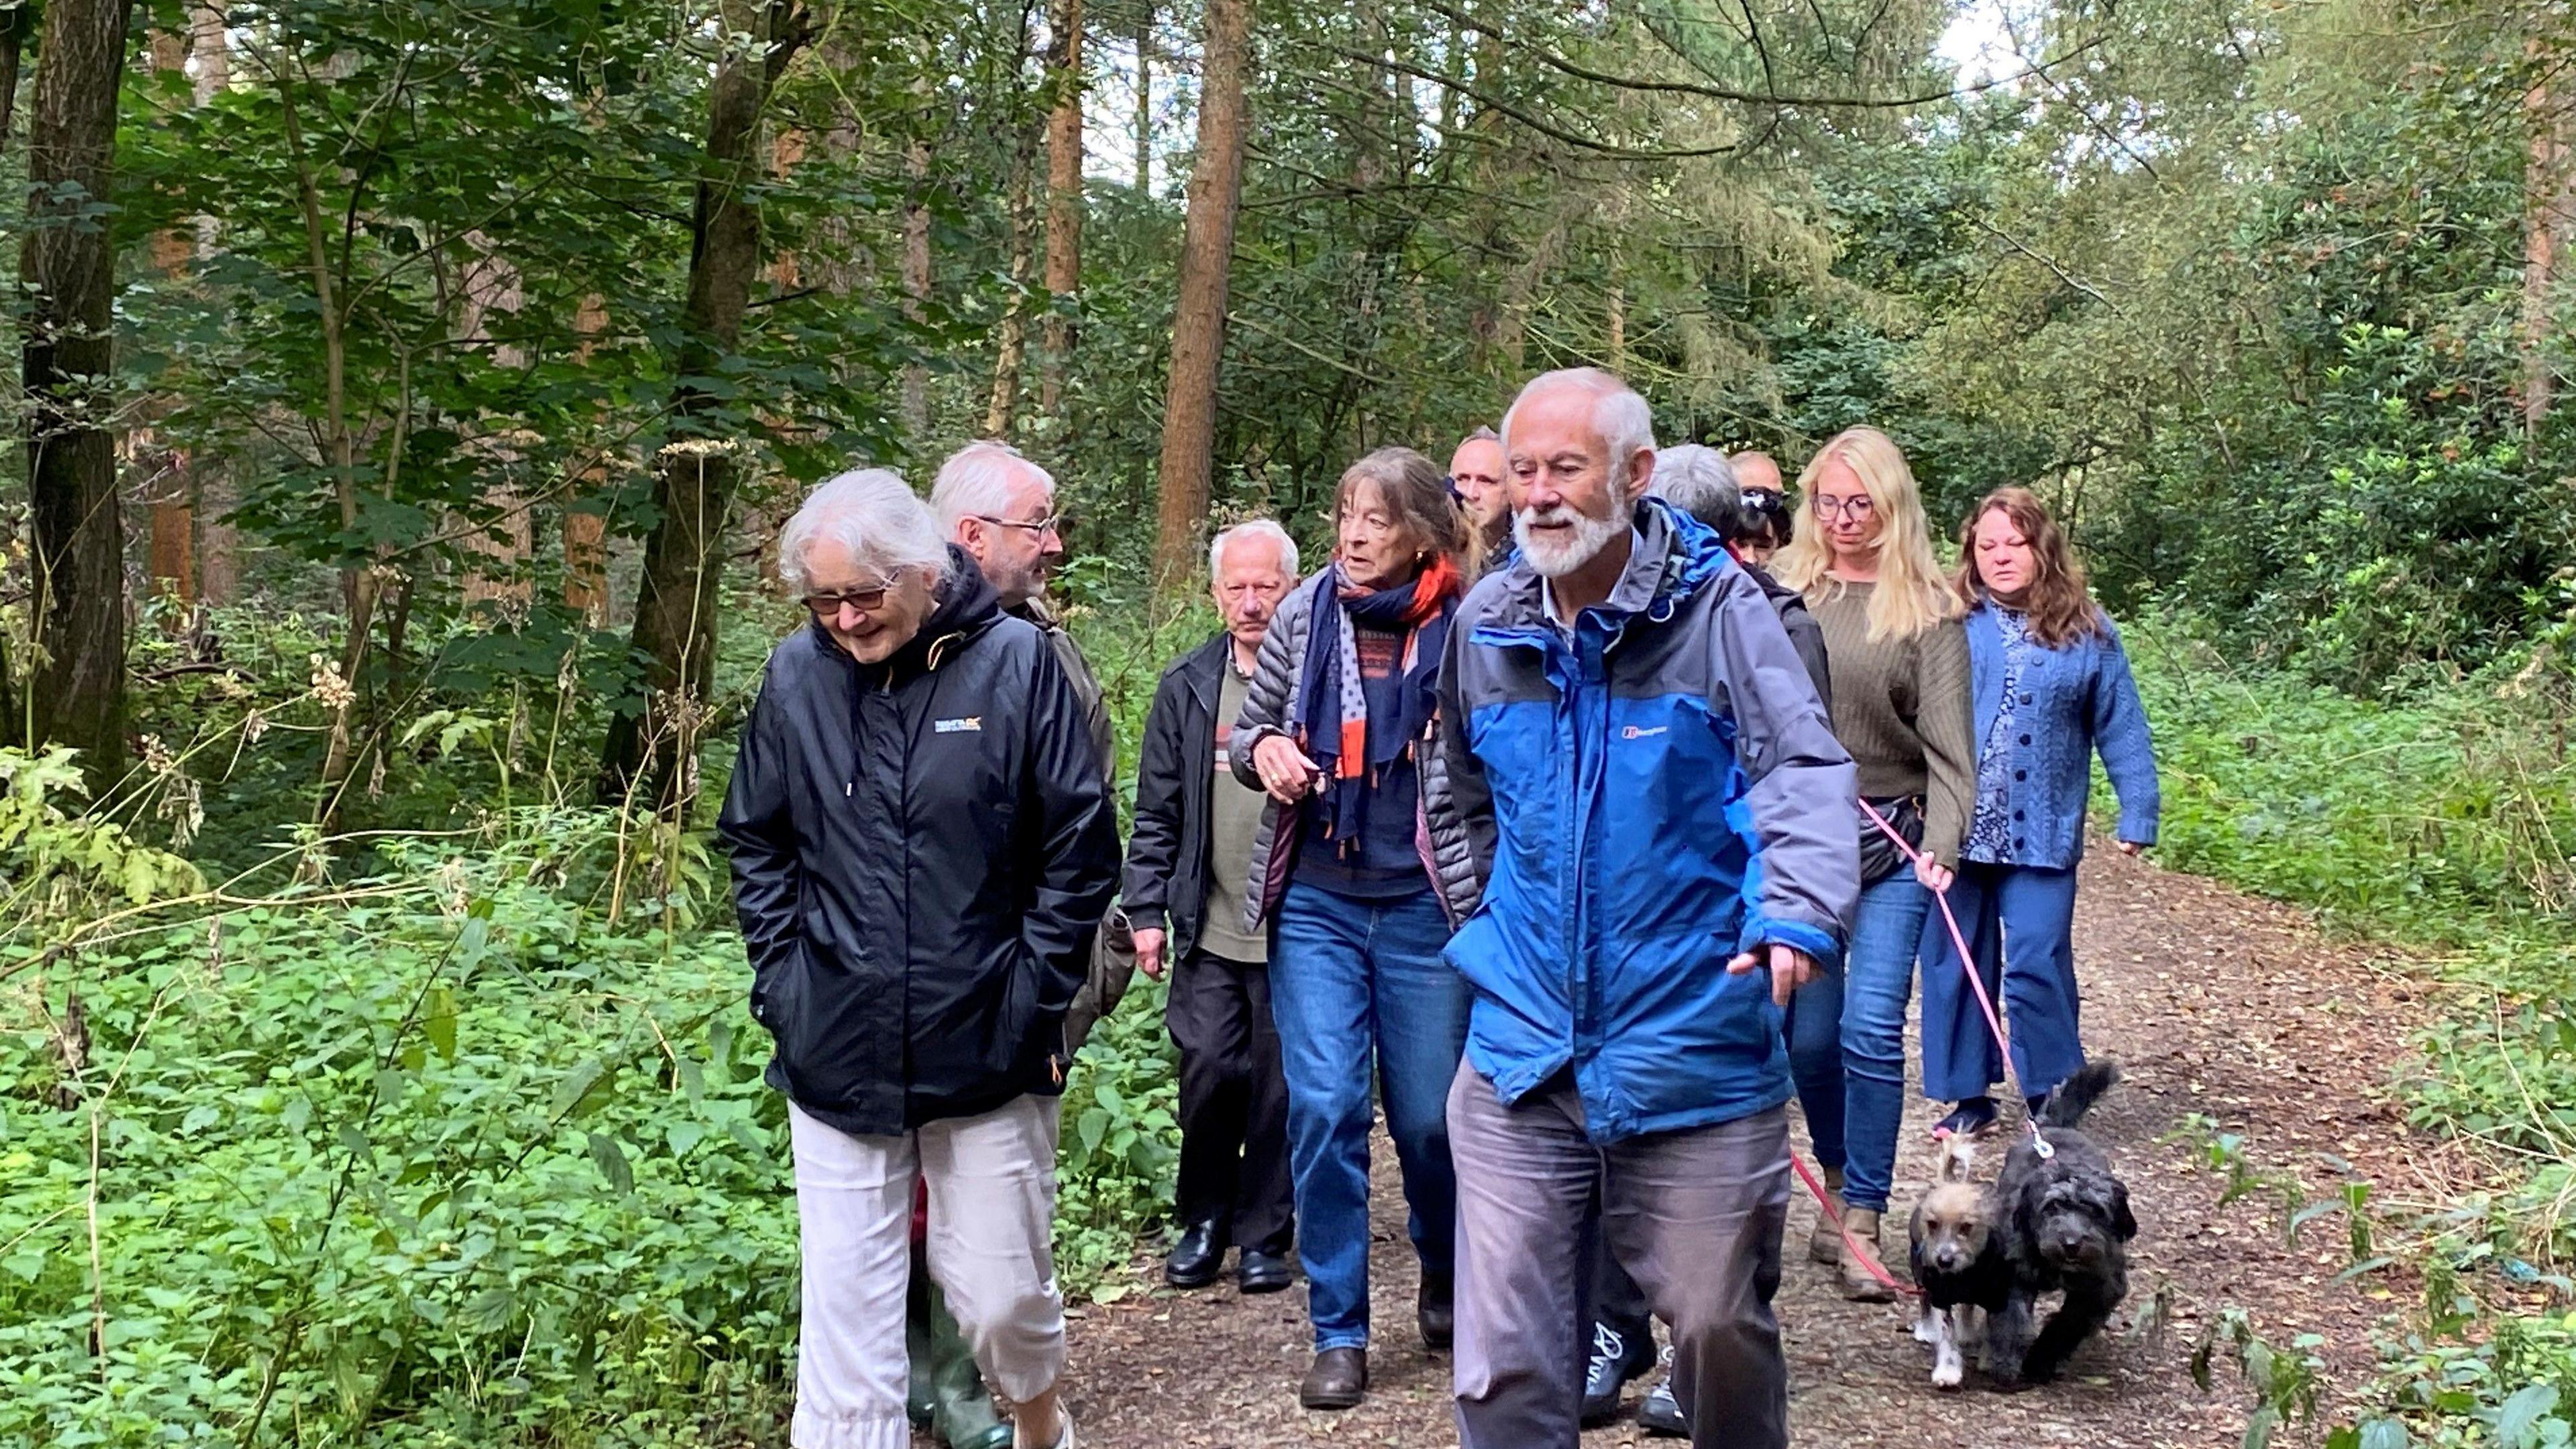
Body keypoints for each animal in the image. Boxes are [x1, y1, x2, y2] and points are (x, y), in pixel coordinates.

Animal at [1978, 1057, 2143, 1382]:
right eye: (2052, 1207)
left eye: (2095, 1211)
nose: (2071, 1243)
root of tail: (2053, 1127)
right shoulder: (2011, 1270)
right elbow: (2012, 1316)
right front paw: (2006, 1361)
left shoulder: (2102, 1285)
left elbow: (2068, 1324)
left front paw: (2041, 1360)